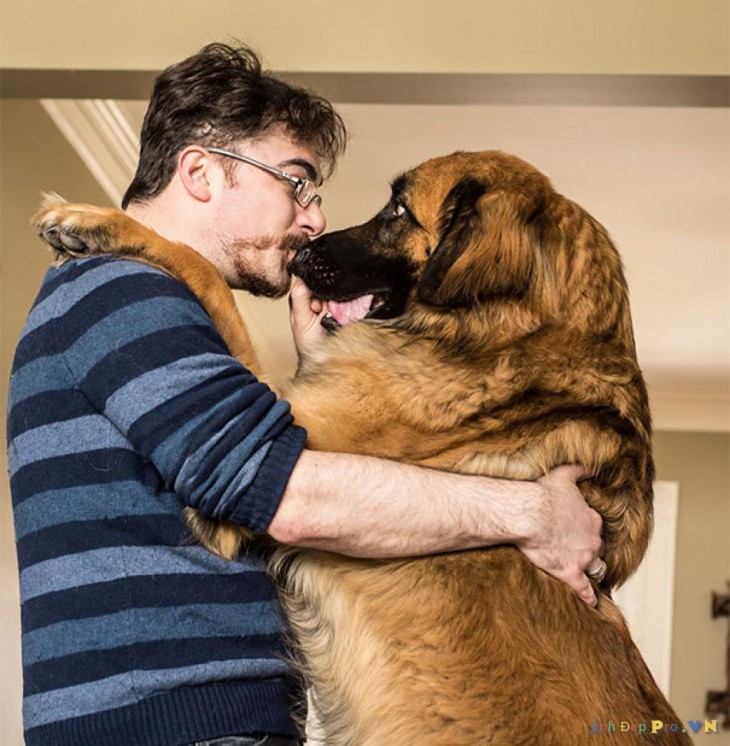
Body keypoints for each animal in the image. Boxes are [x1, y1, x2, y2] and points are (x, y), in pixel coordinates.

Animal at [35, 150, 688, 740]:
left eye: (398, 210)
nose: (301, 252)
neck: (508, 330)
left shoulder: (281, 446)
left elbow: (201, 267)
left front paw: (93, 221)